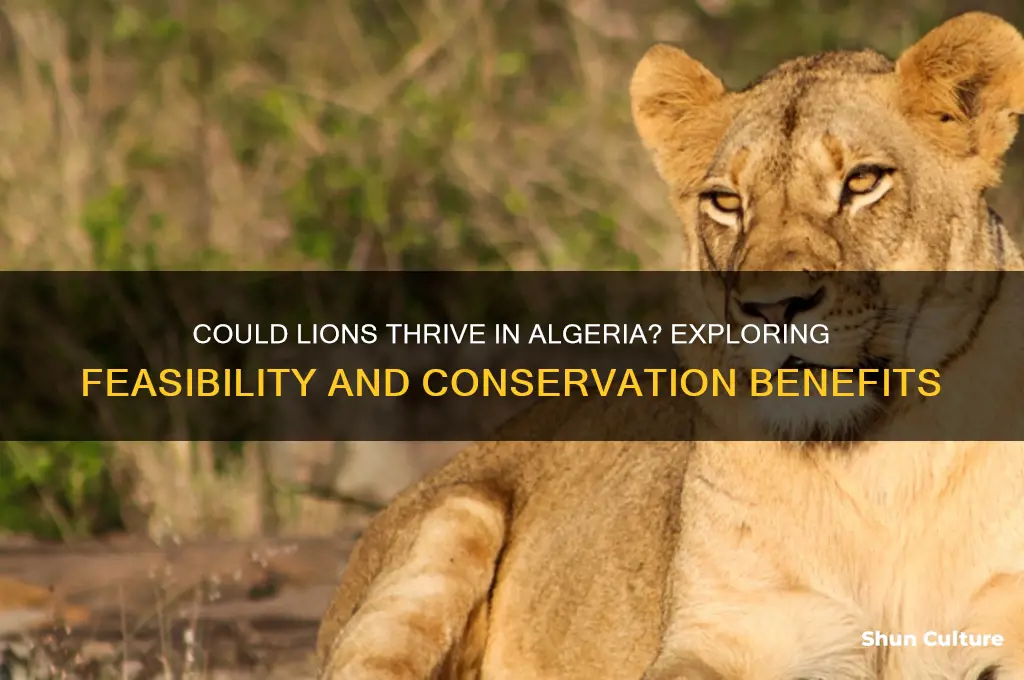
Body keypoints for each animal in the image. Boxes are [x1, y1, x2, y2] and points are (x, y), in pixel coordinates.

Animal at [317, 12, 1024, 679]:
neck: (875, 465)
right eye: (726, 202)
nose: (773, 307)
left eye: (863, 181)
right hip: (453, 520)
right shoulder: (727, 630)